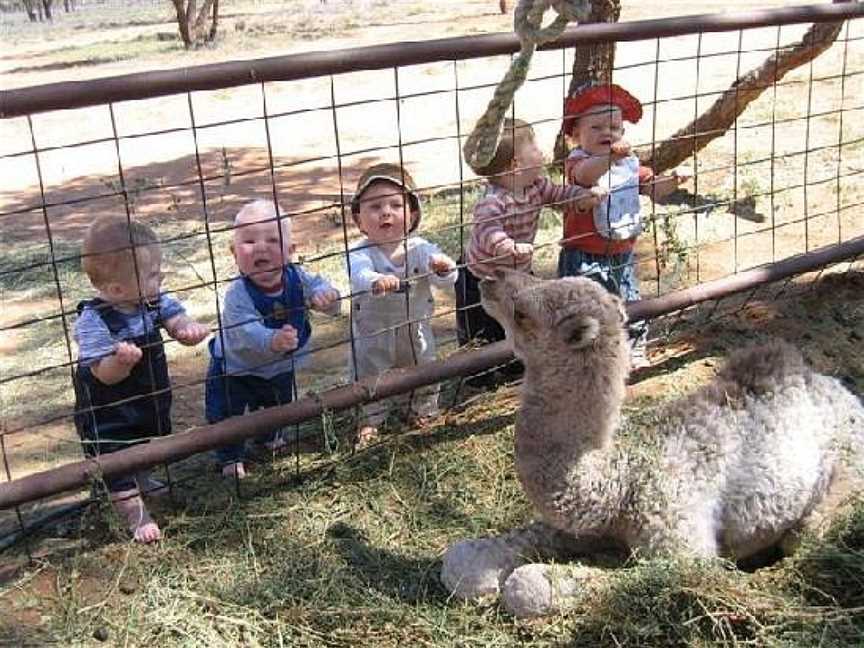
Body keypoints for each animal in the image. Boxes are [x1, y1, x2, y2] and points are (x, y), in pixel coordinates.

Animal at [442, 268, 860, 616]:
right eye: (539, 278)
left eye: (523, 313)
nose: (486, 282)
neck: (619, 479)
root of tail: (840, 388)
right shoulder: (585, 526)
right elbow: (461, 558)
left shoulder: (683, 543)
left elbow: (527, 584)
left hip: (845, 467)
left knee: (803, 535)